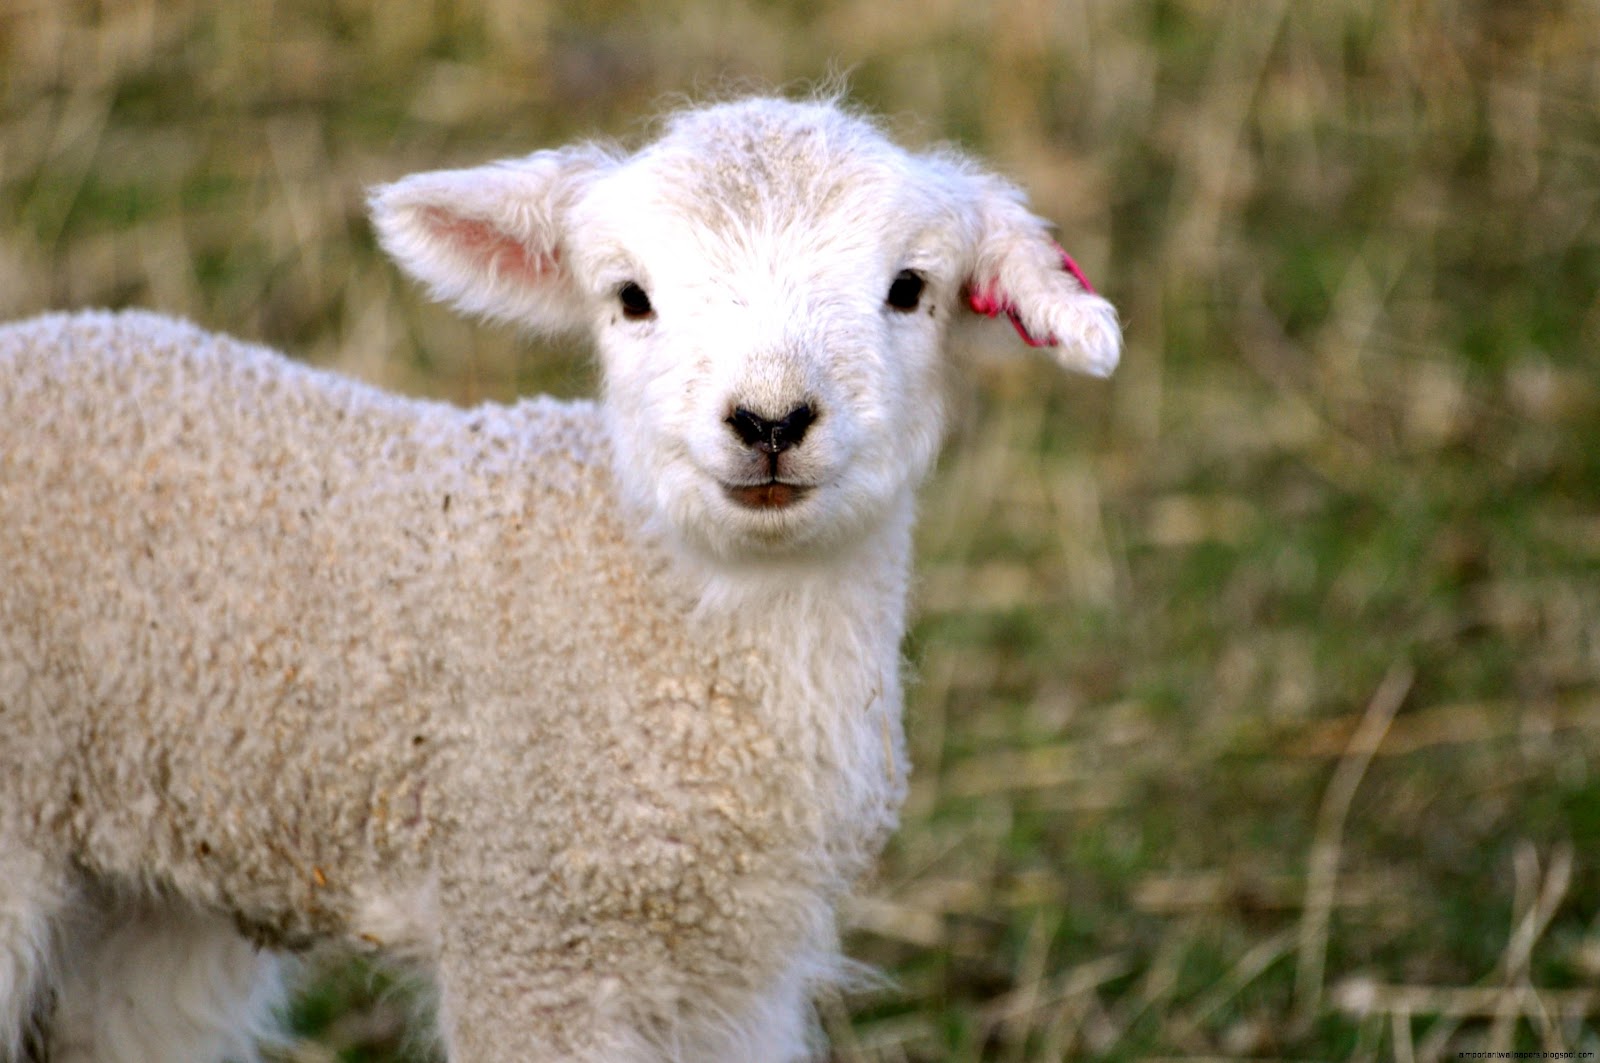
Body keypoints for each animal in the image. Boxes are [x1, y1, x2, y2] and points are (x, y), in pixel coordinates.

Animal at [0, 93, 1120, 1062]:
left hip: (148, 877)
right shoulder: (531, 934)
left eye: (909, 289)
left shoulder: (735, 971)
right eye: (631, 299)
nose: (769, 420)